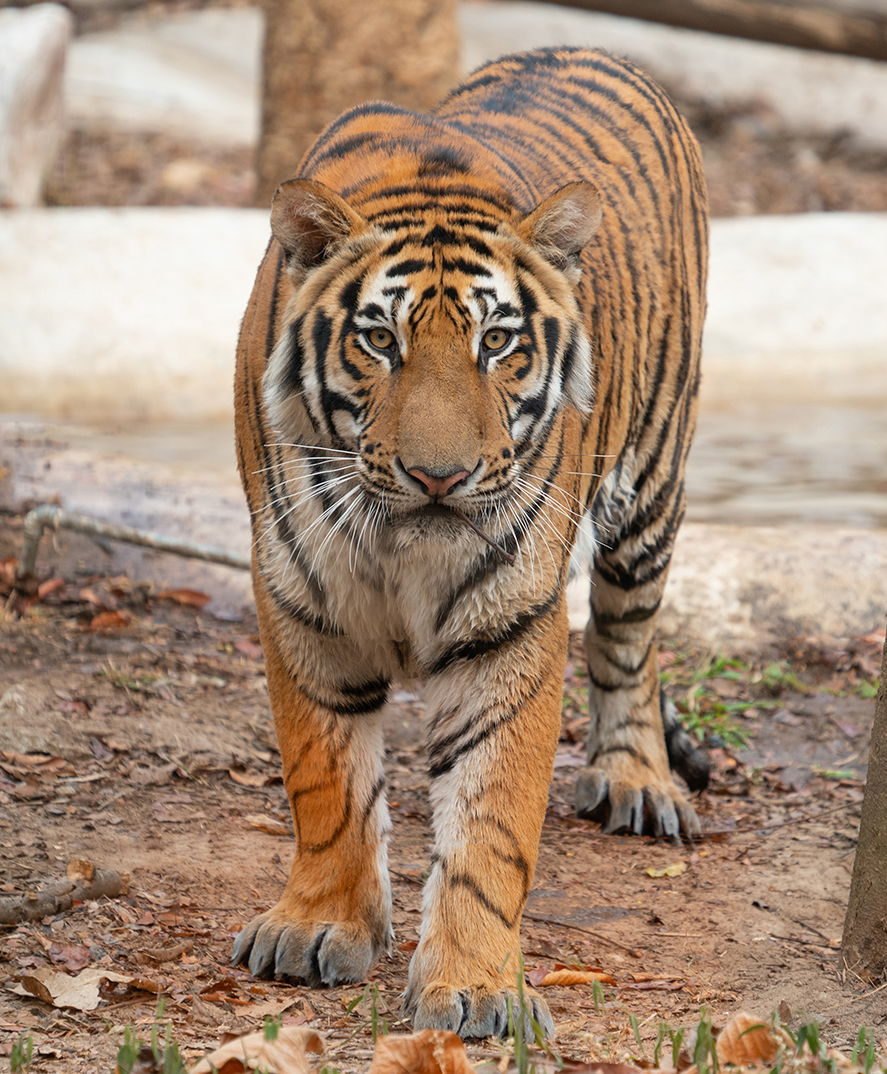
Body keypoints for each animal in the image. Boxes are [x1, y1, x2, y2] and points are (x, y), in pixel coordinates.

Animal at [231, 46, 708, 1035]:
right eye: (379, 340)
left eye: (498, 343)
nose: (439, 478)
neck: (398, 546)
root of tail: (595, 48)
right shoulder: (301, 599)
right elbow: (324, 781)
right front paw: (317, 925)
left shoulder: (510, 623)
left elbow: (492, 823)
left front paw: (477, 986)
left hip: (650, 484)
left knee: (628, 638)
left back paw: (638, 779)